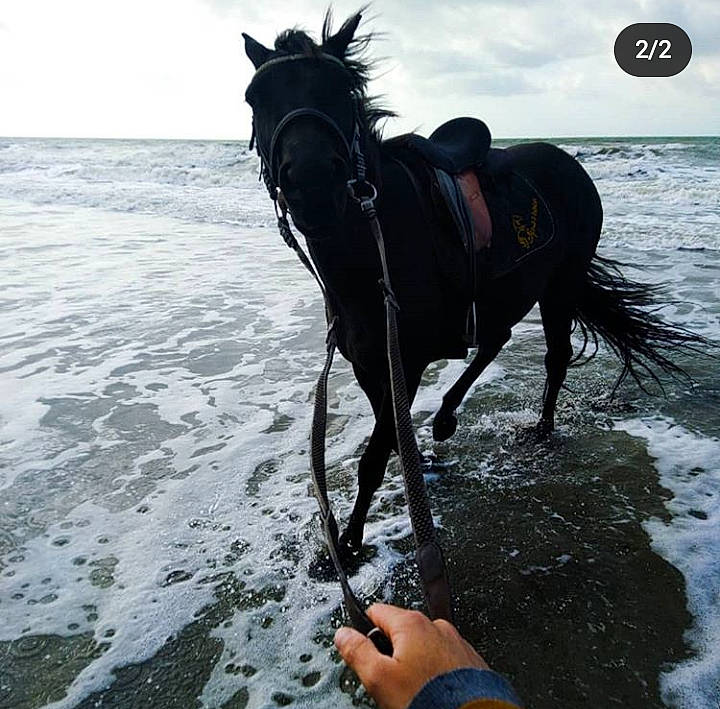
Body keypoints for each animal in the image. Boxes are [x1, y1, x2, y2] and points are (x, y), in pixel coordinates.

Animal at [242, 11, 703, 562]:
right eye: (255, 97)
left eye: (345, 91)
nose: (313, 185)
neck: (373, 252)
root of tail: (567, 160)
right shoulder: (369, 363)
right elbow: (389, 433)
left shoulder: (406, 359)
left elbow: (375, 455)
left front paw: (348, 544)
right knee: (496, 339)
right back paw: (446, 418)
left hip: (559, 283)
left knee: (554, 354)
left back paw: (540, 430)